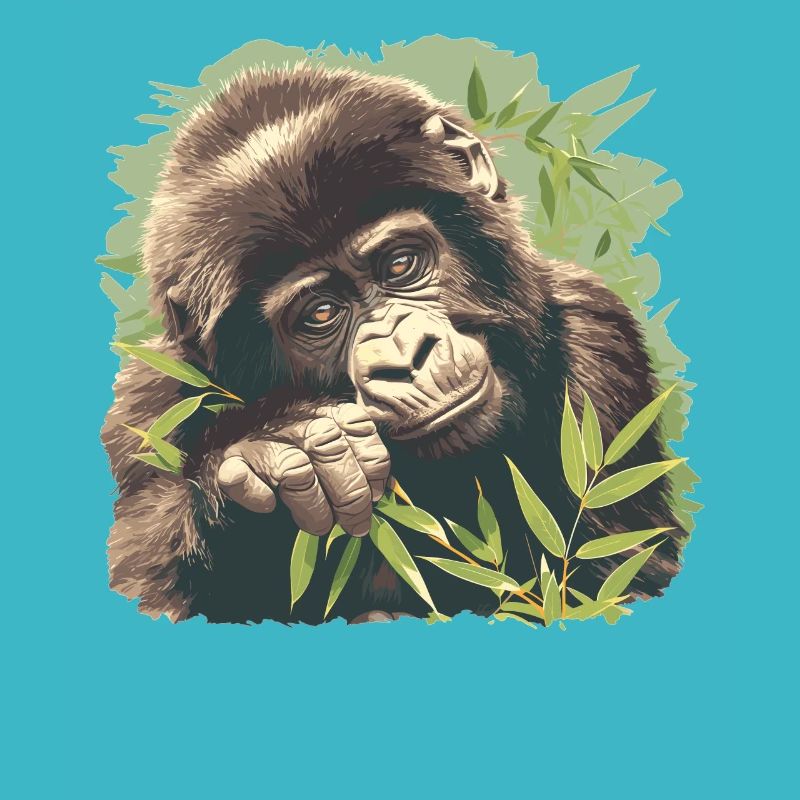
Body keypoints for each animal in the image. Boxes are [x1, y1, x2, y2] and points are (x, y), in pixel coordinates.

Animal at [102, 64, 687, 624]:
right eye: (320, 314)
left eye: (400, 264)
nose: (404, 359)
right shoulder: (148, 405)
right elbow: (147, 581)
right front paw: (277, 446)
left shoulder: (601, 347)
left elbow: (612, 583)